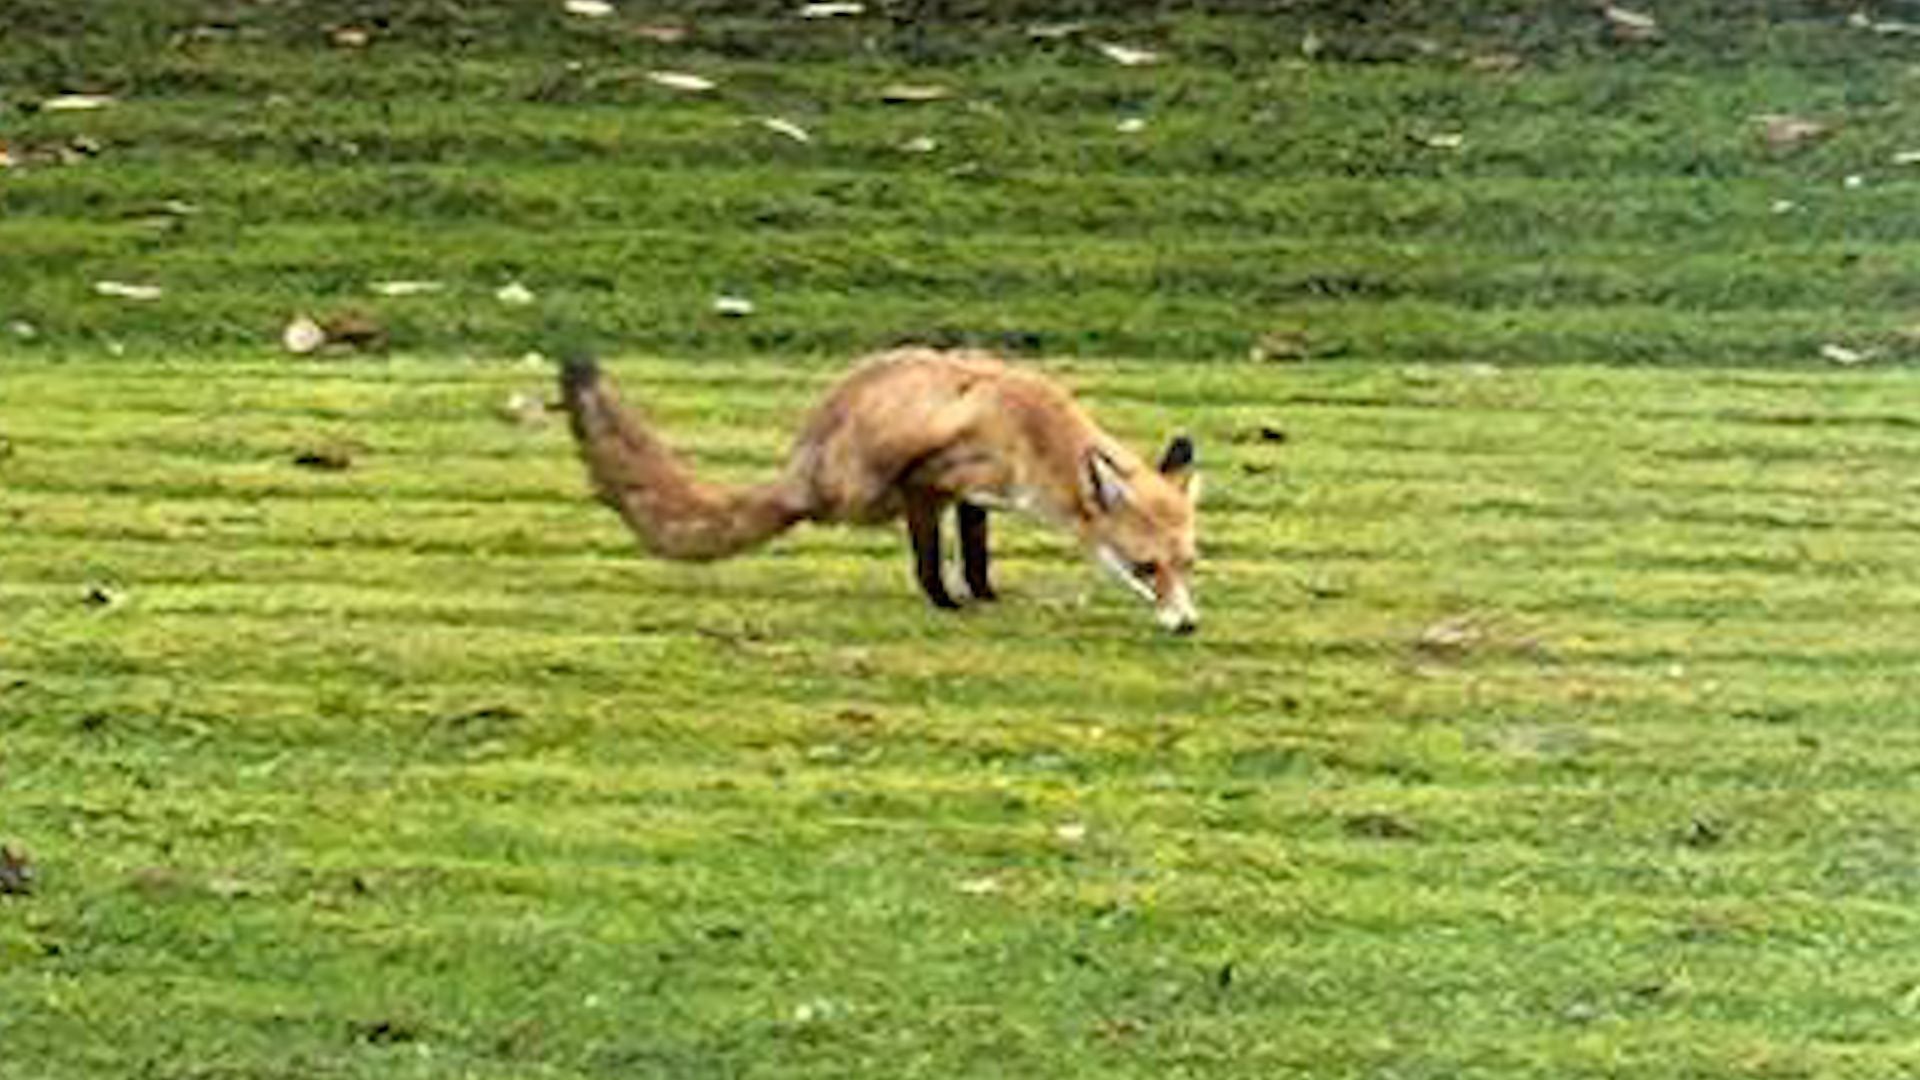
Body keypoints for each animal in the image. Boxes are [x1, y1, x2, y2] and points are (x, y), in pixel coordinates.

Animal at [558, 347, 1201, 633]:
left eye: (1188, 565)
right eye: (1146, 568)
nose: (1189, 624)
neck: (1031, 434)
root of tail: (802, 465)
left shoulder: (976, 499)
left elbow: (976, 557)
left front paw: (986, 595)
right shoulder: (930, 483)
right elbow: (929, 562)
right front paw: (947, 604)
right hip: (861, 490)